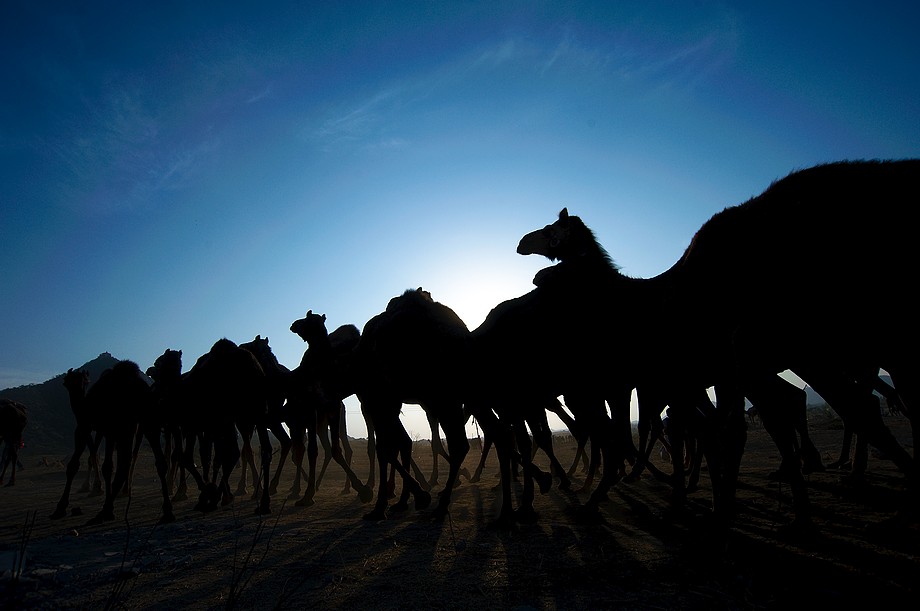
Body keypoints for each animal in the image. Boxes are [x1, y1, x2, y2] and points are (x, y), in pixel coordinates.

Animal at [51, 362, 174, 525]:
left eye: (68, 380)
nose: (71, 386)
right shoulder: (109, 431)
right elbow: (107, 465)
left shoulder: (86, 426)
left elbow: (75, 465)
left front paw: (61, 507)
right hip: (144, 421)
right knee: (154, 462)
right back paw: (166, 510)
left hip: (122, 425)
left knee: (123, 463)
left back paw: (105, 510)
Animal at [518, 160, 919, 532]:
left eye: (551, 230)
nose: (523, 244)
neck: (649, 305)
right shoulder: (713, 373)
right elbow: (719, 430)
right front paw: (718, 504)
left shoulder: (699, 370)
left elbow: (700, 429)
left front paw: (690, 504)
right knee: (852, 403)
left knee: (853, 405)